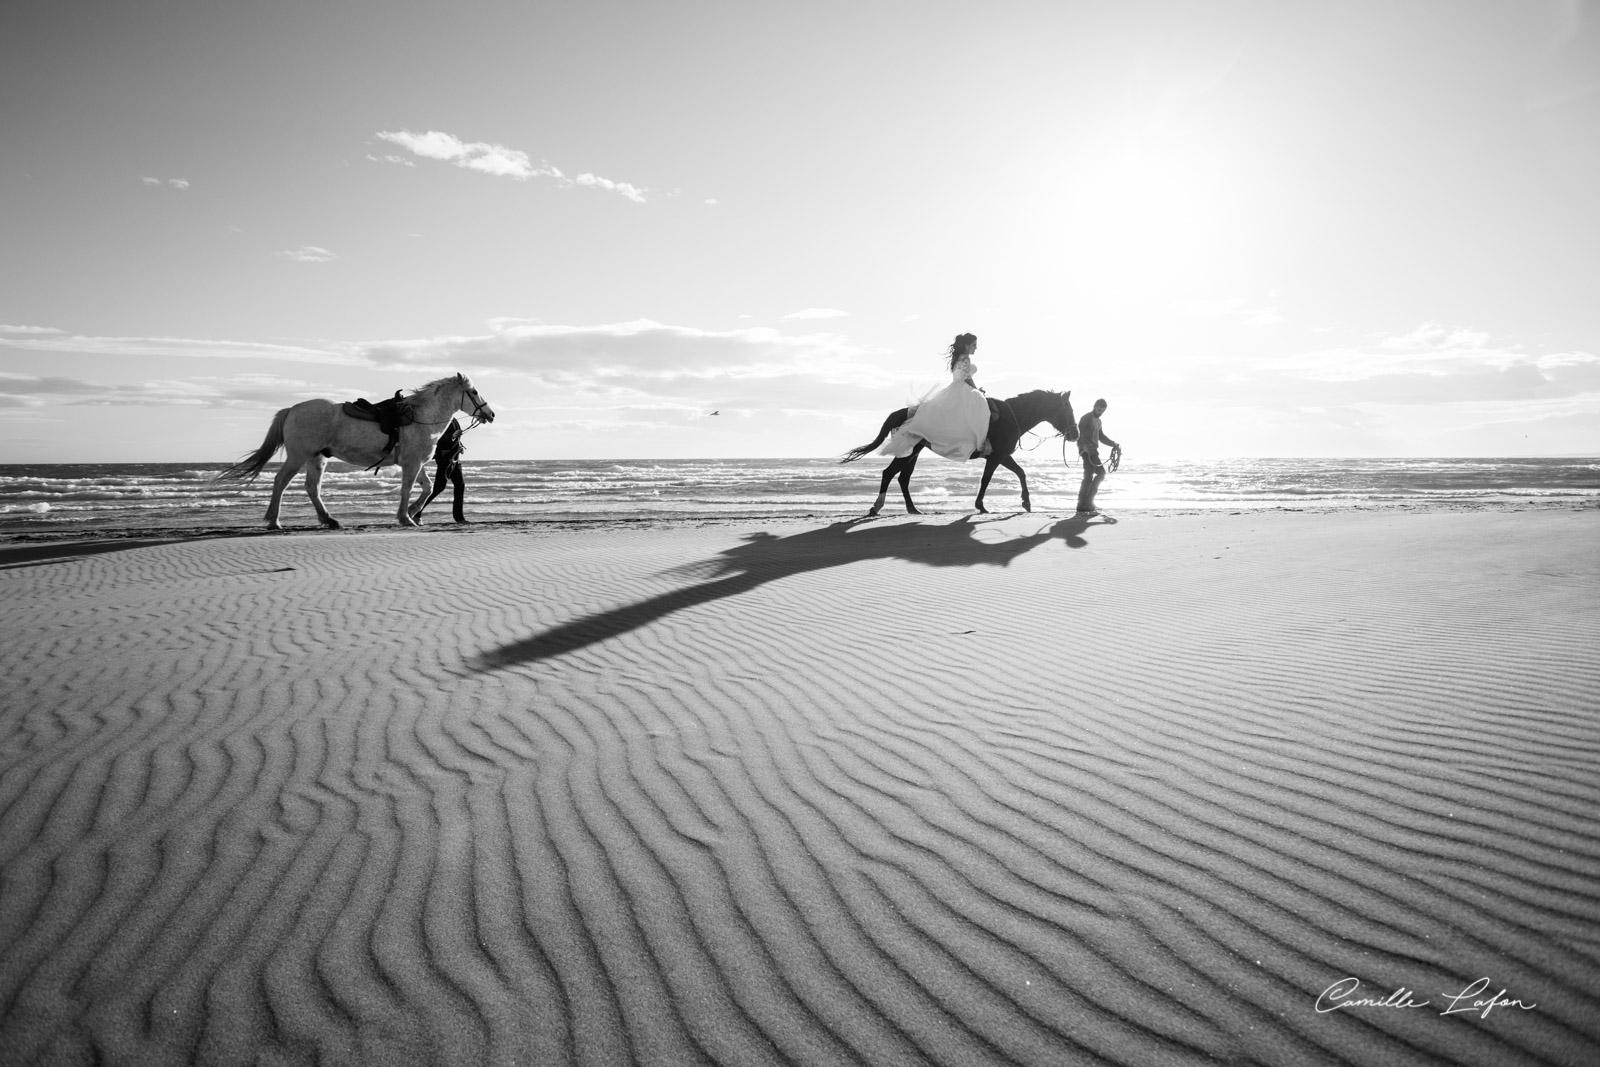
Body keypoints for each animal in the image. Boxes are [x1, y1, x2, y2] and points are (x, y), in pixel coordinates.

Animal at [217, 374, 492, 531]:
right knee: (280, 482)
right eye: (474, 392)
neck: (421, 416)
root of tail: (292, 409)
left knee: (312, 488)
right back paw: (274, 521)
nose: (490, 414)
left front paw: (413, 512)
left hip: (317, 458)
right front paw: (406, 517)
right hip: (298, 456)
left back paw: (329, 520)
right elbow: (407, 489)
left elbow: (426, 489)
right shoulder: (412, 464)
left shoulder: (416, 463)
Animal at [838, 390, 1075, 518]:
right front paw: (981, 506)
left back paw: (913, 509)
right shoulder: (997, 456)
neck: (1011, 417)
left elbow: (1021, 473)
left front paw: (1026, 503)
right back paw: (876, 507)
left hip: (914, 450)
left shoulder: (1002, 455)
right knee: (889, 473)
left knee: (903, 478)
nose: (1076, 433)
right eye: (1069, 410)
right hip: (909, 450)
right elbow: (987, 480)